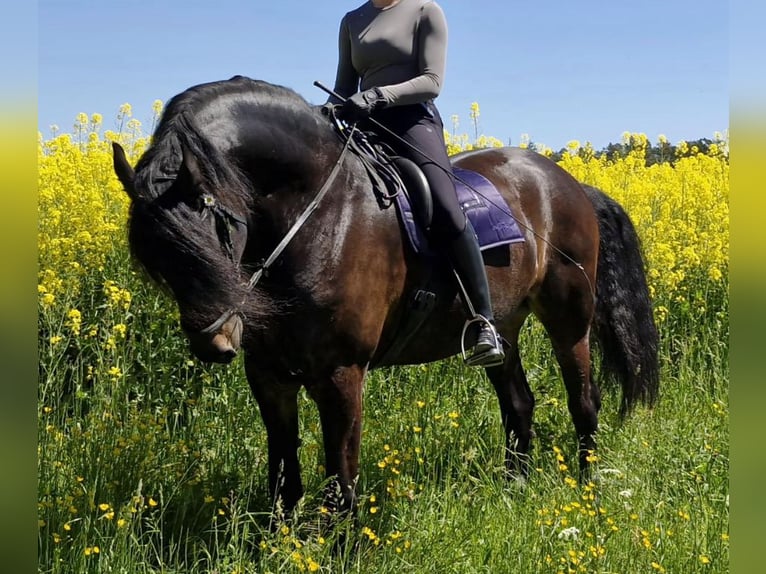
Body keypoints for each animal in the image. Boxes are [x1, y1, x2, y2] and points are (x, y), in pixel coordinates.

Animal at [112, 75, 658, 517]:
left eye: (215, 228)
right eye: (157, 261)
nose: (215, 342)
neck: (318, 212)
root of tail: (568, 181)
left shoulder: (341, 374)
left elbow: (341, 481)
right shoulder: (268, 375)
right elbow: (283, 476)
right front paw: (280, 542)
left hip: (570, 319)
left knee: (583, 401)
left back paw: (586, 491)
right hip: (503, 326)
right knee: (519, 403)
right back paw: (513, 488)